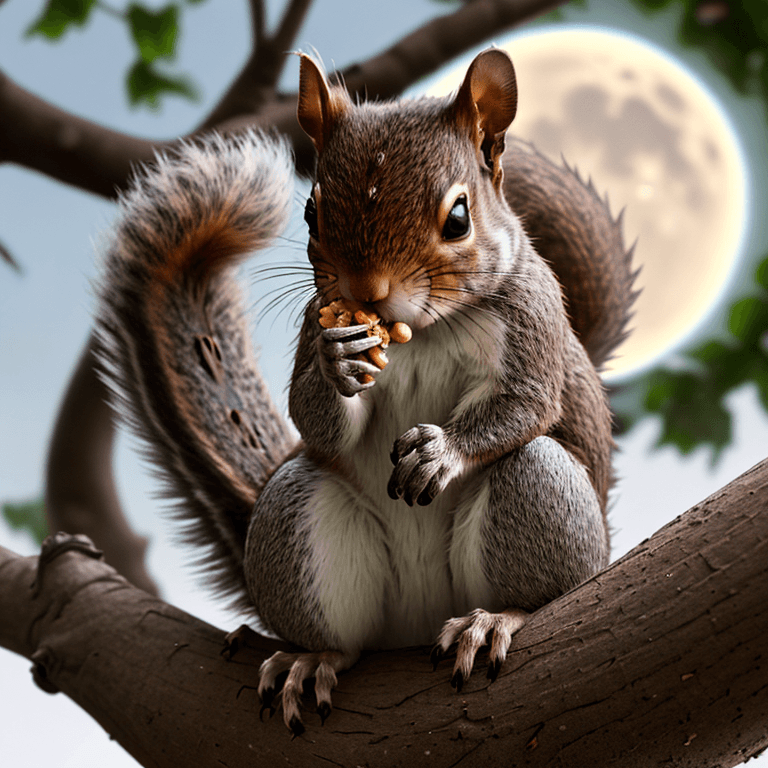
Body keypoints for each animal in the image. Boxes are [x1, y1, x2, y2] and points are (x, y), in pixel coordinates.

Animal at [95, 48, 636, 735]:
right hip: (296, 517)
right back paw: (311, 658)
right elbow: (315, 417)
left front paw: (440, 452)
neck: (421, 332)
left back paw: (494, 619)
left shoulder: (531, 319)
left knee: (533, 537)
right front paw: (336, 364)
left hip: (541, 497)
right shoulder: (314, 319)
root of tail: (416, 626)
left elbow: (526, 401)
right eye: (311, 211)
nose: (366, 291)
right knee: (342, 632)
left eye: (459, 218)